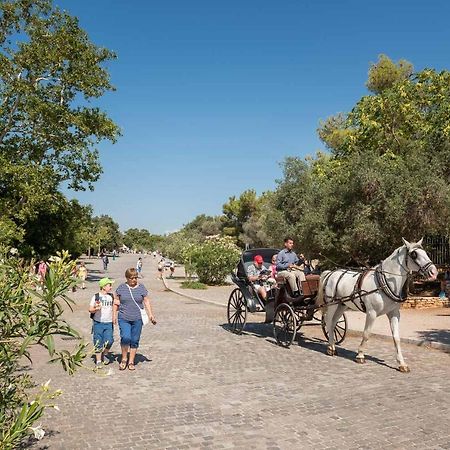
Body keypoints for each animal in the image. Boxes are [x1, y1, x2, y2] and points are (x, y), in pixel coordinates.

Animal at [316, 239, 436, 372]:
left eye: (425, 252)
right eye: (414, 254)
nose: (433, 272)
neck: (383, 283)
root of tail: (331, 273)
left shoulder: (394, 313)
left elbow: (396, 337)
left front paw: (402, 363)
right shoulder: (371, 313)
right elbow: (366, 333)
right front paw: (360, 355)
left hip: (342, 305)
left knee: (334, 323)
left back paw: (332, 346)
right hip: (332, 304)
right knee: (328, 321)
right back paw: (330, 348)